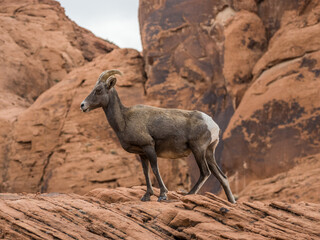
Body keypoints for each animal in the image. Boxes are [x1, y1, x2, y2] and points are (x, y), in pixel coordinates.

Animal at [80, 69, 235, 202]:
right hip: (209, 152)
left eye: (98, 90)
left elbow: (155, 169)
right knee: (222, 177)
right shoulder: (141, 153)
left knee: (205, 172)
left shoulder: (149, 147)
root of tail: (213, 124)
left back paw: (189, 194)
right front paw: (146, 196)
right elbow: (146, 172)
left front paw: (162, 195)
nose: (83, 105)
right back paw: (231, 202)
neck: (124, 120)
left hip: (198, 150)